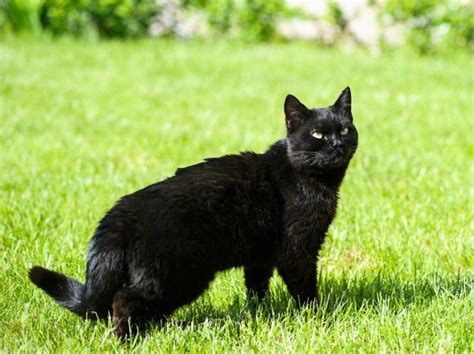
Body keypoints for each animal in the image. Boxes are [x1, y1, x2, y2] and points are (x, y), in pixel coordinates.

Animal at [28, 87, 356, 336]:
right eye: (317, 134)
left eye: (343, 129)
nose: (337, 144)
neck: (310, 177)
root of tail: (120, 215)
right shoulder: (297, 247)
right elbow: (304, 287)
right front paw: (316, 317)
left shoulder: (259, 255)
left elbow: (256, 286)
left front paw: (258, 312)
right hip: (180, 276)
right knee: (124, 299)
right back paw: (127, 338)